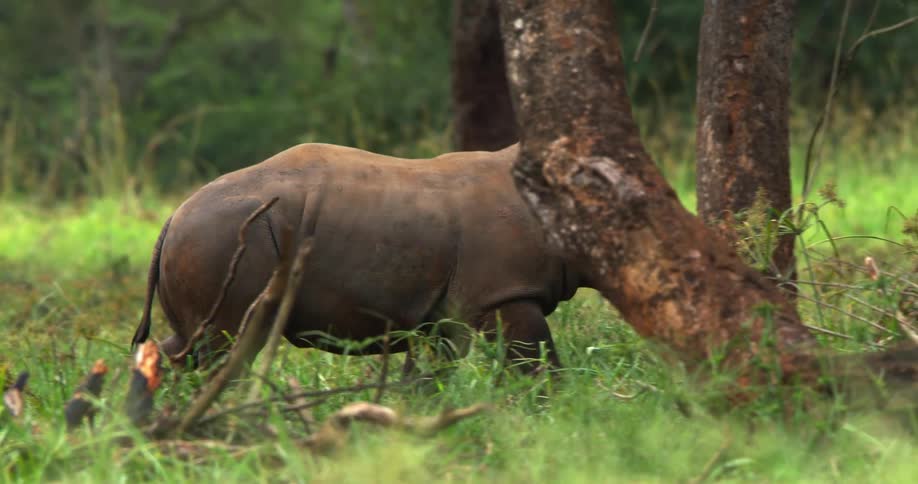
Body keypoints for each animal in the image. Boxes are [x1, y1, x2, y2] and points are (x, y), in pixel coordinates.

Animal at [130, 143, 587, 372]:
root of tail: (172, 216)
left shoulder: (450, 310)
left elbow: (436, 371)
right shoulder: (506, 291)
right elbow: (537, 361)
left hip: (215, 235)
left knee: (191, 344)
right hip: (225, 236)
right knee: (226, 345)